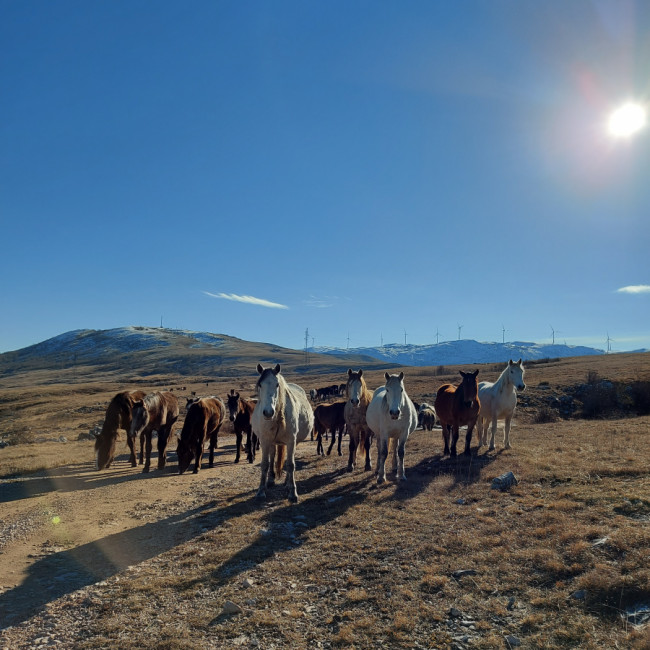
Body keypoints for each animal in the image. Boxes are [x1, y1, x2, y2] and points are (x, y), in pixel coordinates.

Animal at [251, 364, 314, 502]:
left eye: (277, 385)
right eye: (260, 385)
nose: (268, 412)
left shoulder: (291, 441)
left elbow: (290, 465)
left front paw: (292, 492)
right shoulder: (265, 441)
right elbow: (265, 464)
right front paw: (261, 491)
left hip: (294, 442)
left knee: (289, 461)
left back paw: (287, 482)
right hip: (272, 442)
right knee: (272, 456)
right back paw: (270, 480)